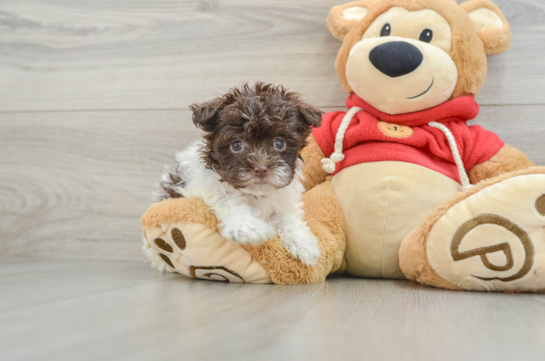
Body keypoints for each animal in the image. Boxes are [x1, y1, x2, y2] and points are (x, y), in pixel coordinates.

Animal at [153, 83, 324, 266]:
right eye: (236, 145)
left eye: (279, 143)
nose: (261, 168)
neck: (255, 194)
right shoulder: (209, 185)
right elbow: (229, 200)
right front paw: (249, 229)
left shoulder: (282, 199)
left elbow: (288, 216)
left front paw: (303, 243)